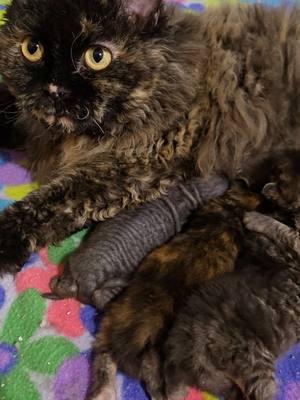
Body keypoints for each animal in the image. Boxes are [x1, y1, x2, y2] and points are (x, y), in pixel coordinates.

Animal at [46, 177, 227, 308]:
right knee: (101, 297)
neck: (188, 191)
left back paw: (55, 284)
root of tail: (87, 279)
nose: (226, 179)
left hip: (73, 263)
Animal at [88, 183, 262, 400]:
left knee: (104, 363)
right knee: (163, 382)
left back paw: (103, 393)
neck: (230, 210)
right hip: (165, 351)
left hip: (106, 331)